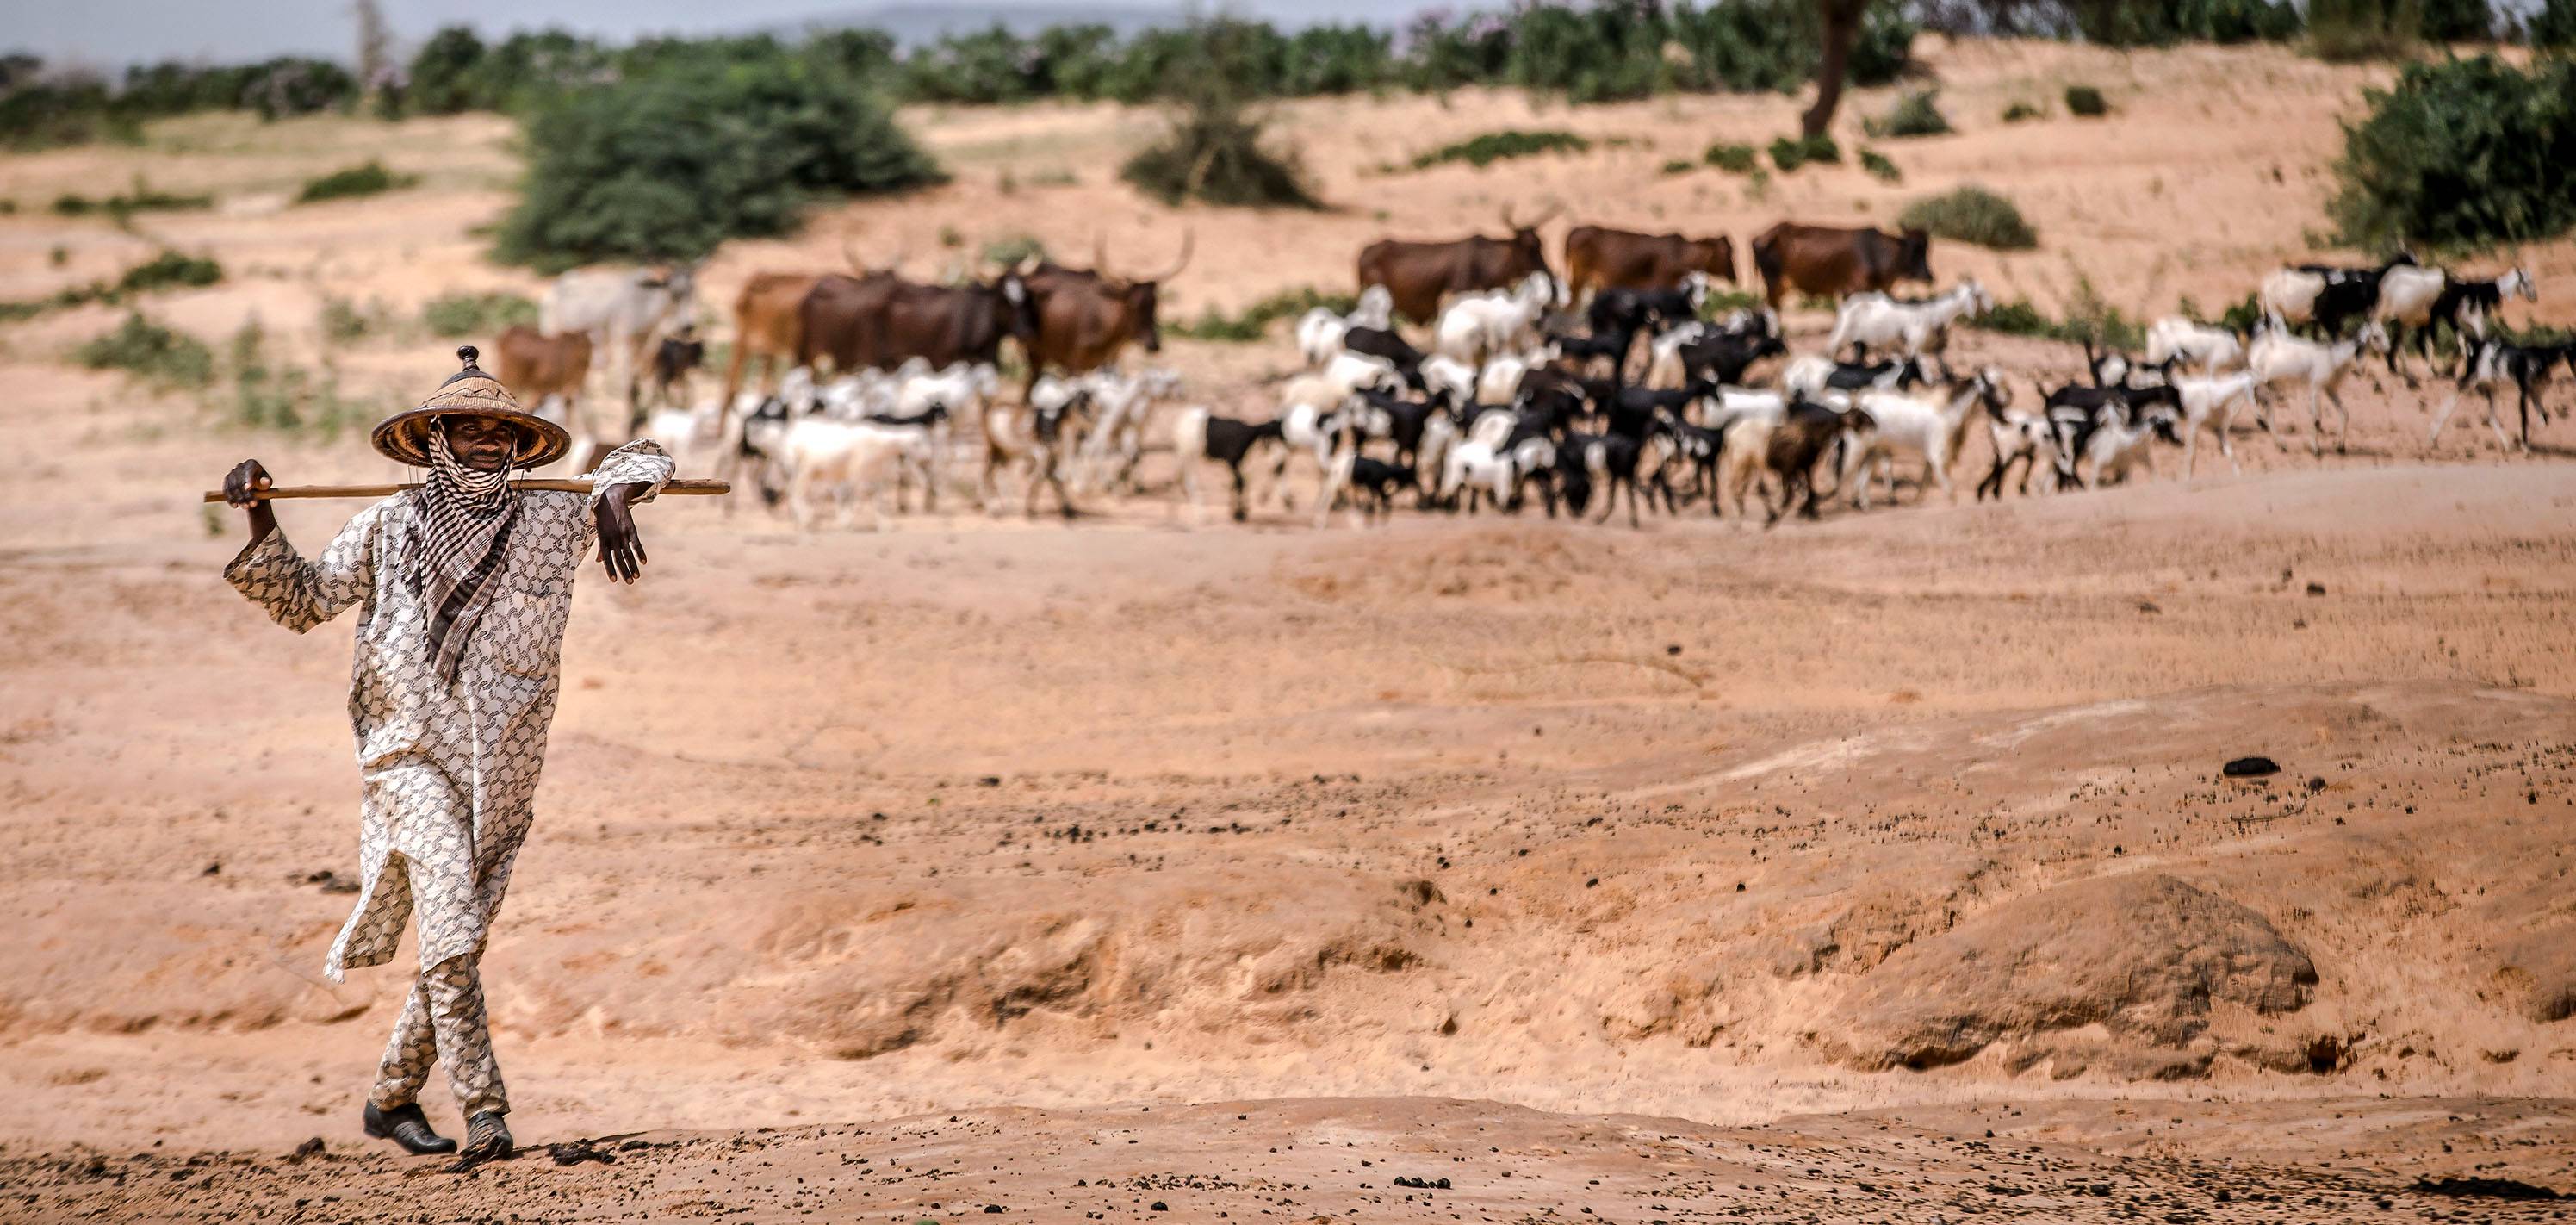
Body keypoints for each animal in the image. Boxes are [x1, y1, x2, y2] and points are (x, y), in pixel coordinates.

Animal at [1555, 222, 1741, 297]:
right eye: (1727, 253)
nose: (1734, 276)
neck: (1680, 254)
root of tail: (1575, 230)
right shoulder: (1658, 285)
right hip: (1579, 278)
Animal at [1751, 224, 1937, 312]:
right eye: (1912, 249)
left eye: (1926, 250)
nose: (1928, 276)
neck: (1874, 252)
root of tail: (1759, 238)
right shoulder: (1850, 292)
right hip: (1774, 286)